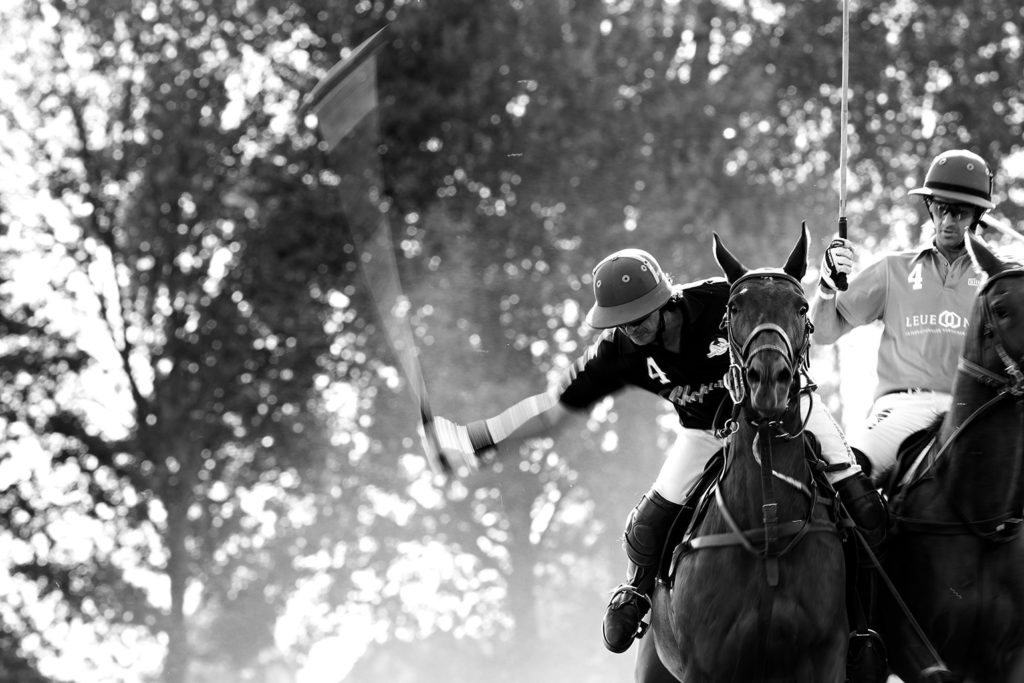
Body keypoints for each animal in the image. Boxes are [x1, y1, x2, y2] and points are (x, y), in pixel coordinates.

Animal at [643, 228, 843, 683]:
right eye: (734, 308)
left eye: (802, 307)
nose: (768, 380)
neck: (766, 524)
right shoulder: (703, 664)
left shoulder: (827, 655)